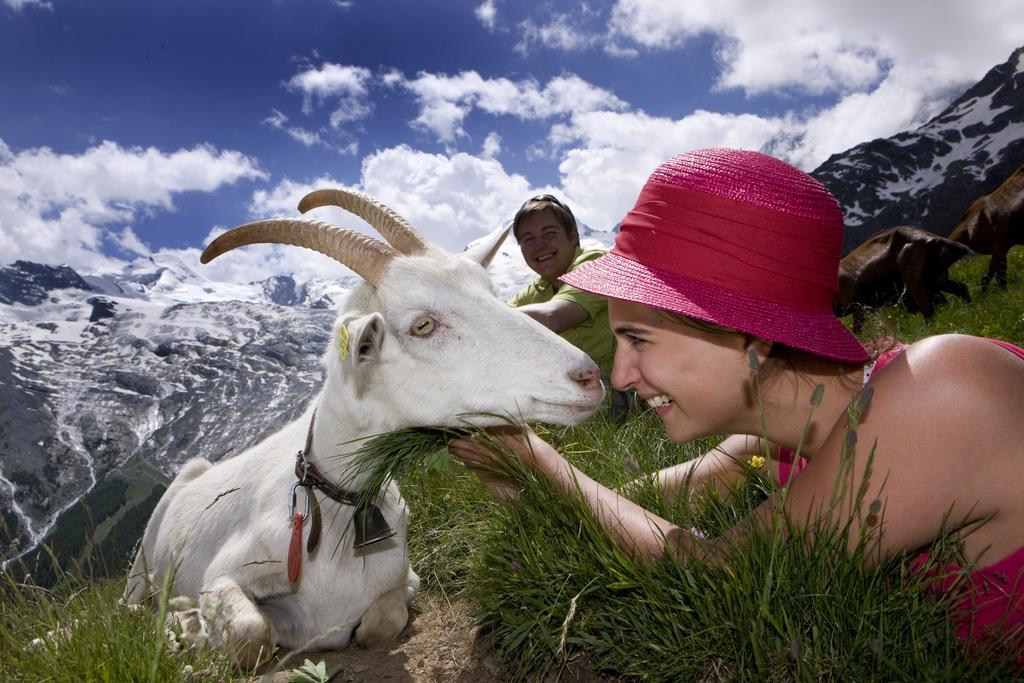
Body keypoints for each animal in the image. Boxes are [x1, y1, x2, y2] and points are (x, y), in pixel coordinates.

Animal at [125, 189, 606, 671]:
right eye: (423, 325)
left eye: (491, 294)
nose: (589, 376)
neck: (333, 512)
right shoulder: (222, 576)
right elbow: (251, 631)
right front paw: (187, 630)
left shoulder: (404, 577)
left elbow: (382, 622)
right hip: (141, 563)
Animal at [835, 224, 970, 331]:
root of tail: (930, 238)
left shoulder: (857, 305)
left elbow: (857, 330)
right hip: (933, 277)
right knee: (959, 288)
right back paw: (968, 309)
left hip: (914, 281)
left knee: (928, 310)